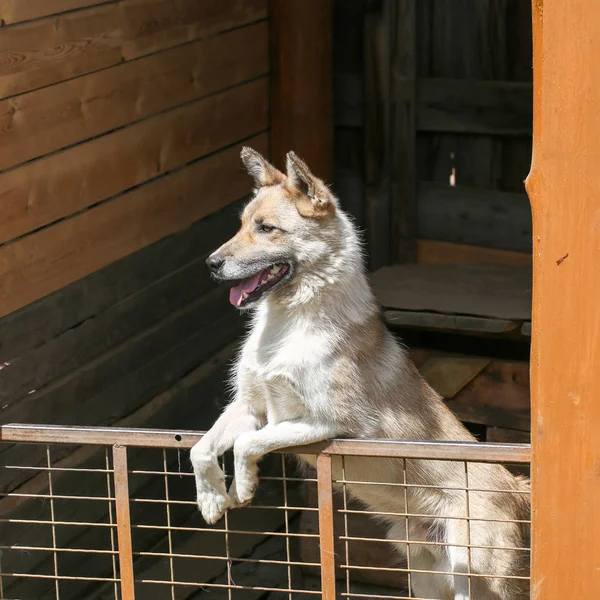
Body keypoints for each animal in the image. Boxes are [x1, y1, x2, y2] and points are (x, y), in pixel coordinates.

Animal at [191, 146, 528, 600]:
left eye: (266, 229)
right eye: (242, 225)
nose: (211, 264)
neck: (290, 320)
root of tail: (516, 489)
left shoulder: (337, 424)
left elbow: (248, 443)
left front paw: (242, 486)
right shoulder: (249, 407)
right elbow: (202, 447)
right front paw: (212, 497)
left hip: (473, 580)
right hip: (426, 578)